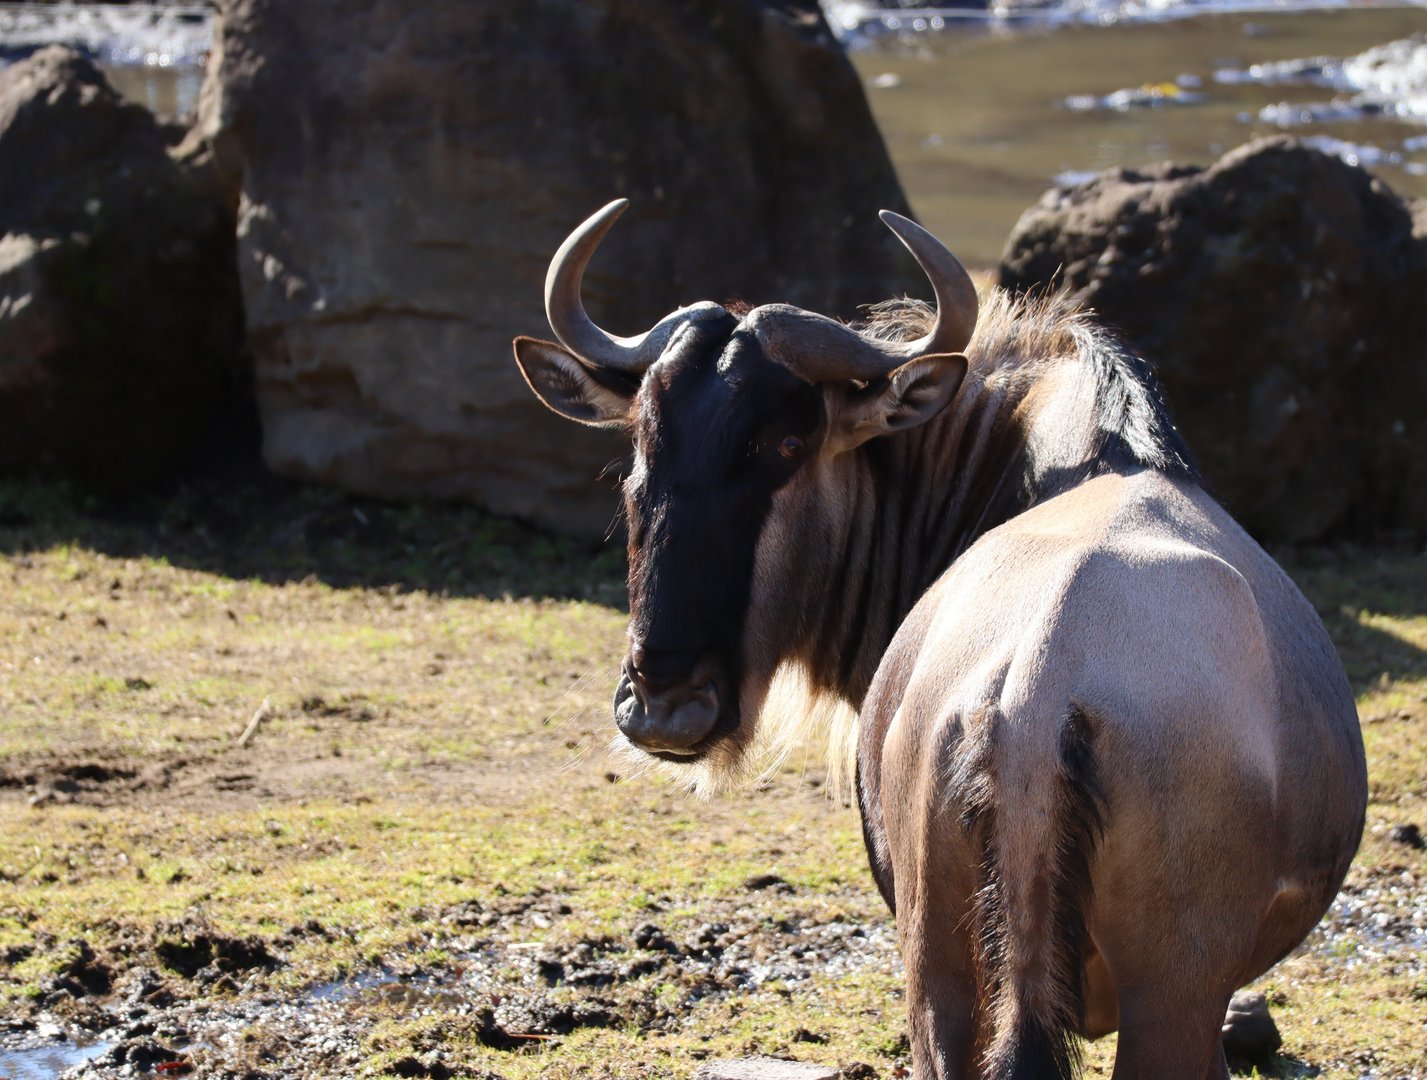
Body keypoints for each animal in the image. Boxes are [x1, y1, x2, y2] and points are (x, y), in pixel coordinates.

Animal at [512, 200, 1367, 1079]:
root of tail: (1036, 699)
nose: (663, 705)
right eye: (643, 444)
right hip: (1153, 998)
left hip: (951, 975)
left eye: (785, 445)